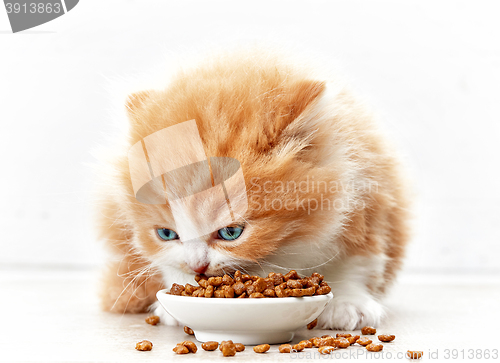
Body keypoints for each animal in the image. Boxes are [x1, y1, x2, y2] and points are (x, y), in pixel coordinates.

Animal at [96, 49, 410, 332]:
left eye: (231, 232)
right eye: (166, 234)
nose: (197, 267)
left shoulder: (369, 200)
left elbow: (356, 261)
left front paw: (347, 303)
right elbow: (165, 262)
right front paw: (174, 302)